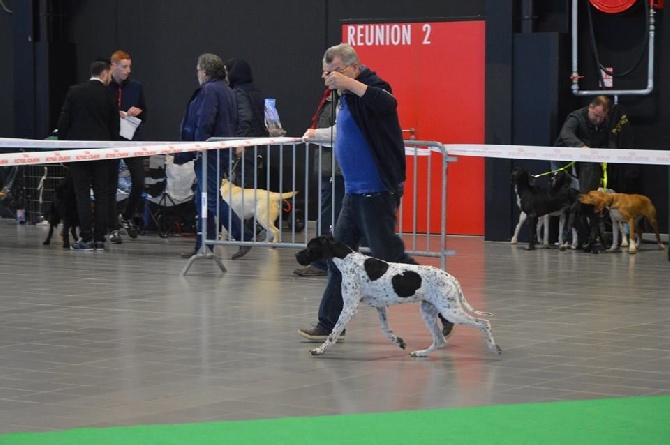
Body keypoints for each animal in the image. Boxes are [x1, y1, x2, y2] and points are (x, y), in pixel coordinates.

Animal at [296, 236, 504, 358]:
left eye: (309, 247)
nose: (297, 255)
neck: (348, 260)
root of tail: (451, 278)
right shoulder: (380, 307)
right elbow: (386, 331)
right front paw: (399, 341)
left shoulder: (349, 307)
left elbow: (334, 333)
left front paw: (320, 349)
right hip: (428, 312)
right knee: (439, 340)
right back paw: (421, 353)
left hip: (450, 311)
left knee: (483, 323)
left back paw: (494, 347)